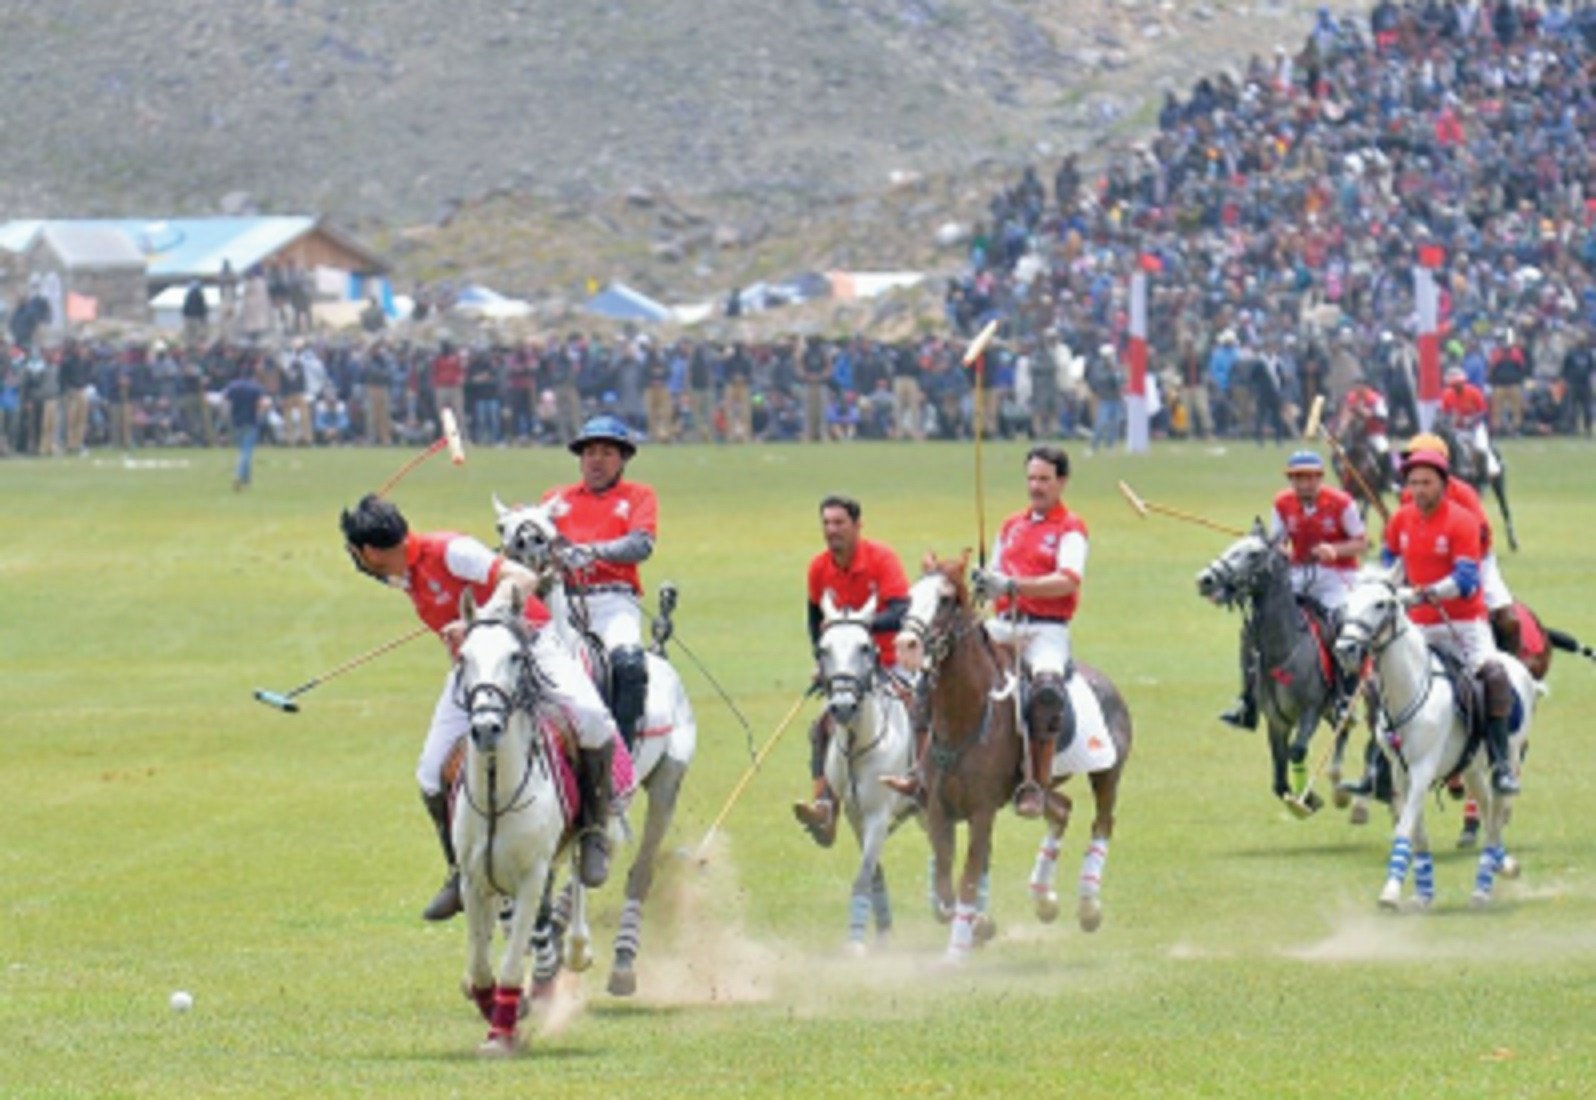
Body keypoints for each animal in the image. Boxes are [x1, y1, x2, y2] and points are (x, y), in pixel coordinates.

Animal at [453, 587, 571, 1053]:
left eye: (515, 657)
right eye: (463, 656)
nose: (486, 727)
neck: (495, 794)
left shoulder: (531, 875)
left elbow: (509, 961)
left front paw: (501, 1035)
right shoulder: (472, 878)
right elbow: (480, 962)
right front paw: (499, 1012)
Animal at [494, 498, 695, 996]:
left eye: (548, 529)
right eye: (503, 527)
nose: (525, 544)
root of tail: (659, 655)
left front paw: (569, 951)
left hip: (666, 782)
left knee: (638, 868)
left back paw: (620, 961)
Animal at [817, 590, 919, 945]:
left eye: (864, 646)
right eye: (823, 648)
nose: (843, 706)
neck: (859, 744)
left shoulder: (878, 813)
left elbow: (862, 876)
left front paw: (855, 944)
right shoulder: (854, 814)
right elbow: (874, 872)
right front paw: (883, 932)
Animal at [900, 552, 1136, 957]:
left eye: (945, 600)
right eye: (911, 595)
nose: (906, 645)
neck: (965, 717)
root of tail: (1103, 680)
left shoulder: (981, 811)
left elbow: (967, 880)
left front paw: (956, 953)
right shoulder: (937, 808)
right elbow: (945, 889)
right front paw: (981, 926)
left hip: (1108, 770)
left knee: (1102, 822)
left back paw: (1088, 906)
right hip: (1037, 786)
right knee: (1060, 807)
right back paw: (1044, 899)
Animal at [1334, 565, 1544, 906]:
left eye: (1381, 604)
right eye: (1347, 603)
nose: (1345, 650)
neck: (1408, 687)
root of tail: (1523, 671)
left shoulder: (1423, 767)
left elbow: (1405, 827)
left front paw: (1390, 891)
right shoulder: (1401, 771)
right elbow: (1417, 832)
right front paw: (1422, 893)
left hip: (1508, 758)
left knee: (1498, 811)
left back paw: (1482, 888)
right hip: (1472, 767)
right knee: (1487, 809)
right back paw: (1504, 865)